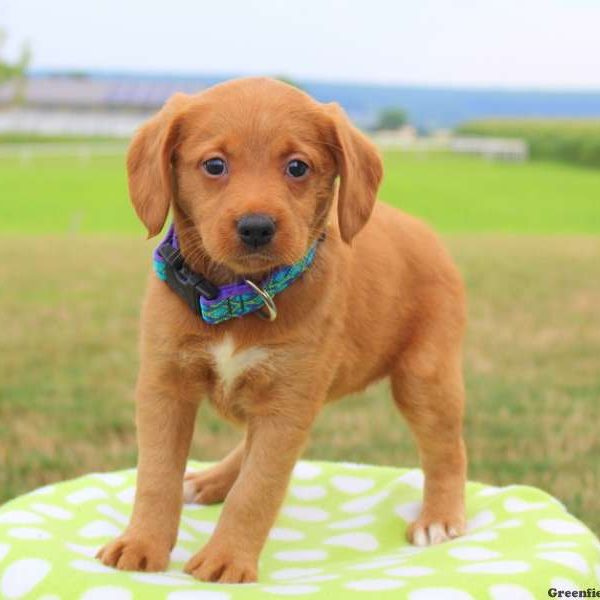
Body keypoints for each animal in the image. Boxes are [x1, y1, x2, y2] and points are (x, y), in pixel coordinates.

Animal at [96, 77, 466, 584]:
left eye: (297, 167)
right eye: (214, 165)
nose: (256, 227)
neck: (239, 295)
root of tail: (427, 233)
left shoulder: (288, 402)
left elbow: (257, 489)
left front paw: (227, 559)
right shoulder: (164, 385)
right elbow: (156, 475)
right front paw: (141, 543)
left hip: (424, 376)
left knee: (447, 448)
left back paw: (440, 517)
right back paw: (212, 479)